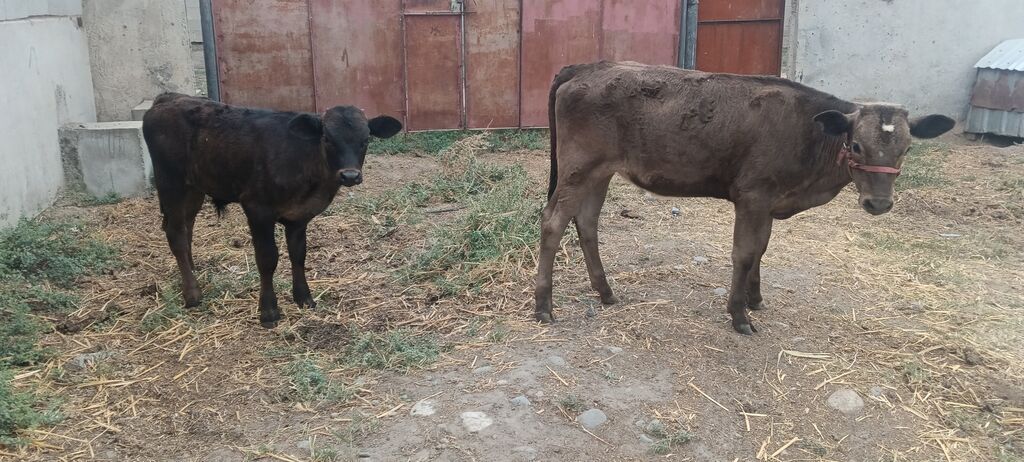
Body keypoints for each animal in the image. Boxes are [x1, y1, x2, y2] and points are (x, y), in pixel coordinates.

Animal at [142, 93, 402, 327]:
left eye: (366, 139)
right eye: (327, 138)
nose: (349, 175)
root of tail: (169, 98)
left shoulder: (299, 216)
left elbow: (298, 255)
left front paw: (304, 298)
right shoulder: (257, 209)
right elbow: (267, 259)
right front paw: (268, 311)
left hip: (194, 187)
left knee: (187, 226)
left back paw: (193, 271)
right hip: (170, 182)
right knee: (175, 233)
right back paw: (193, 293)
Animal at [535, 61, 954, 335]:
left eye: (907, 149)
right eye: (856, 145)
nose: (878, 204)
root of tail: (588, 66)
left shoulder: (769, 200)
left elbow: (762, 249)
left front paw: (755, 298)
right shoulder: (753, 195)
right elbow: (744, 253)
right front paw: (739, 316)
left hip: (600, 172)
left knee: (587, 221)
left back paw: (606, 292)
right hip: (579, 167)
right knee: (553, 221)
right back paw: (543, 307)